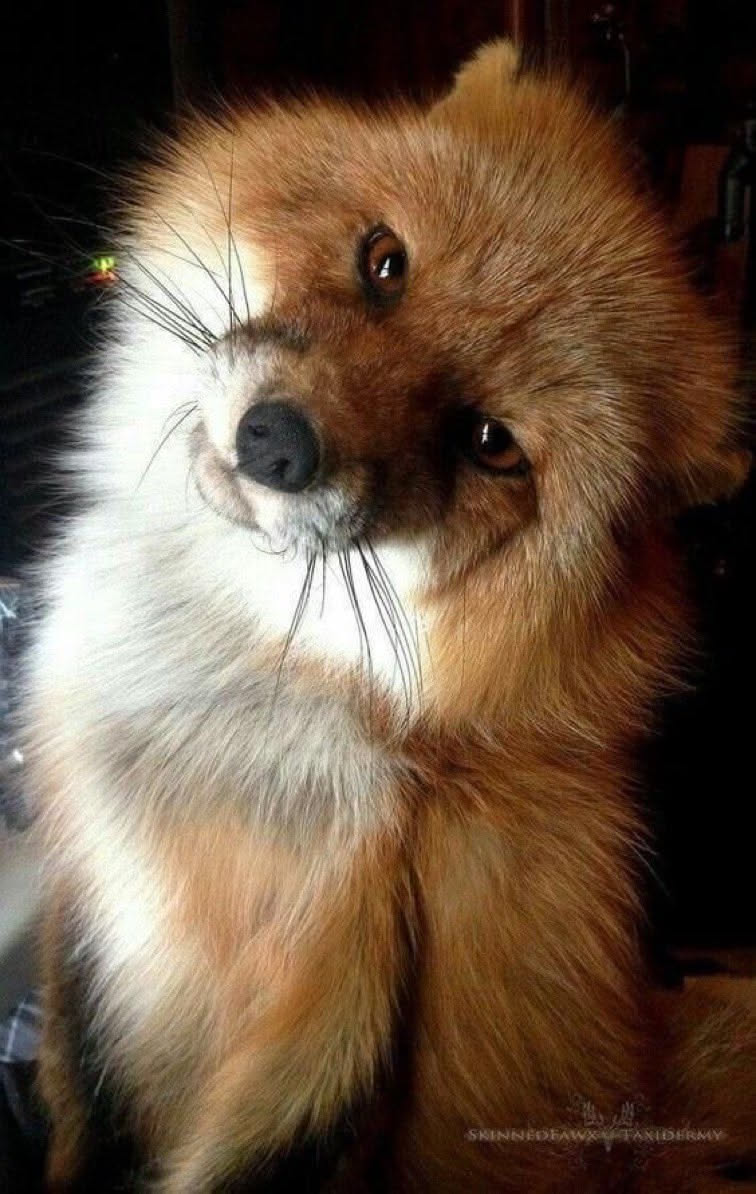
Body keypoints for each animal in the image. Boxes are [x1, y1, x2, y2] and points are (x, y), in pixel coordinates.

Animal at [22, 38, 755, 1193]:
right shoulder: (84, 887)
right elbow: (74, 1104)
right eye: (385, 263)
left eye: (491, 441)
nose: (278, 444)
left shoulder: (347, 974)